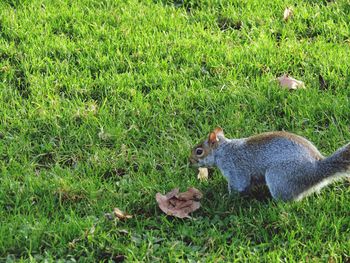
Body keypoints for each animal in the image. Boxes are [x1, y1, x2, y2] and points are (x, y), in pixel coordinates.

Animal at [191, 128, 350, 202]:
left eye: (199, 151)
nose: (189, 161)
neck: (224, 150)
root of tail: (316, 170)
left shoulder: (234, 167)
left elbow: (238, 185)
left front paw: (227, 198)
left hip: (279, 176)